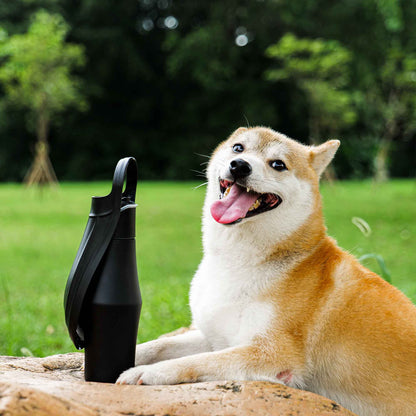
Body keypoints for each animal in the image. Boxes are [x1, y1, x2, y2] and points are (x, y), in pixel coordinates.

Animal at [116, 127, 416, 416]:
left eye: (278, 164)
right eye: (238, 148)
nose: (239, 166)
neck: (237, 261)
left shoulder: (272, 352)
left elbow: (193, 361)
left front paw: (148, 372)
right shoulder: (217, 336)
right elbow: (158, 346)